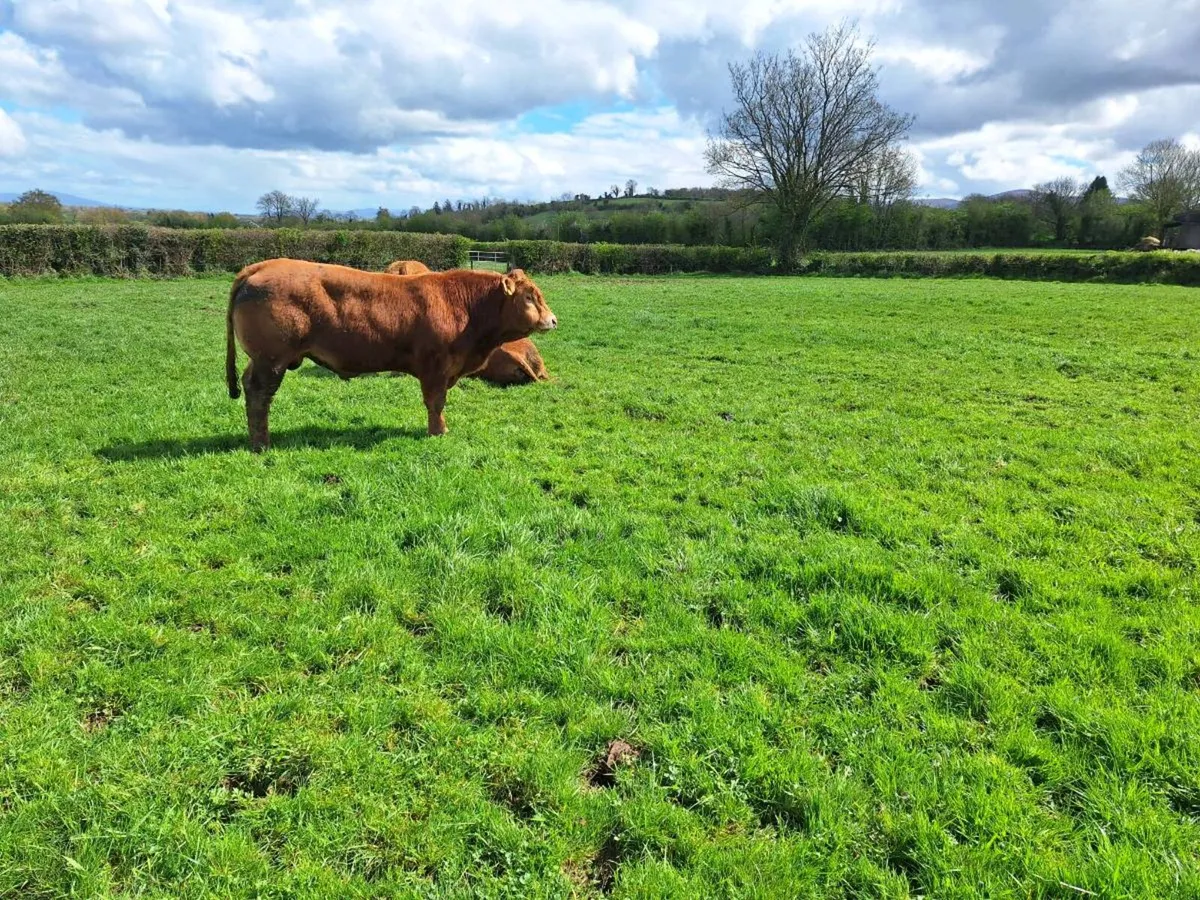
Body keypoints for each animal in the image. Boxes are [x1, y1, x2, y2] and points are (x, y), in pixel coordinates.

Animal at [225, 258, 557, 451]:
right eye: (530, 297)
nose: (553, 320)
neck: (464, 307)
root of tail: (262, 266)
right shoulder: (436, 368)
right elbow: (435, 403)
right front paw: (438, 432)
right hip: (270, 361)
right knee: (259, 395)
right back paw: (261, 443)